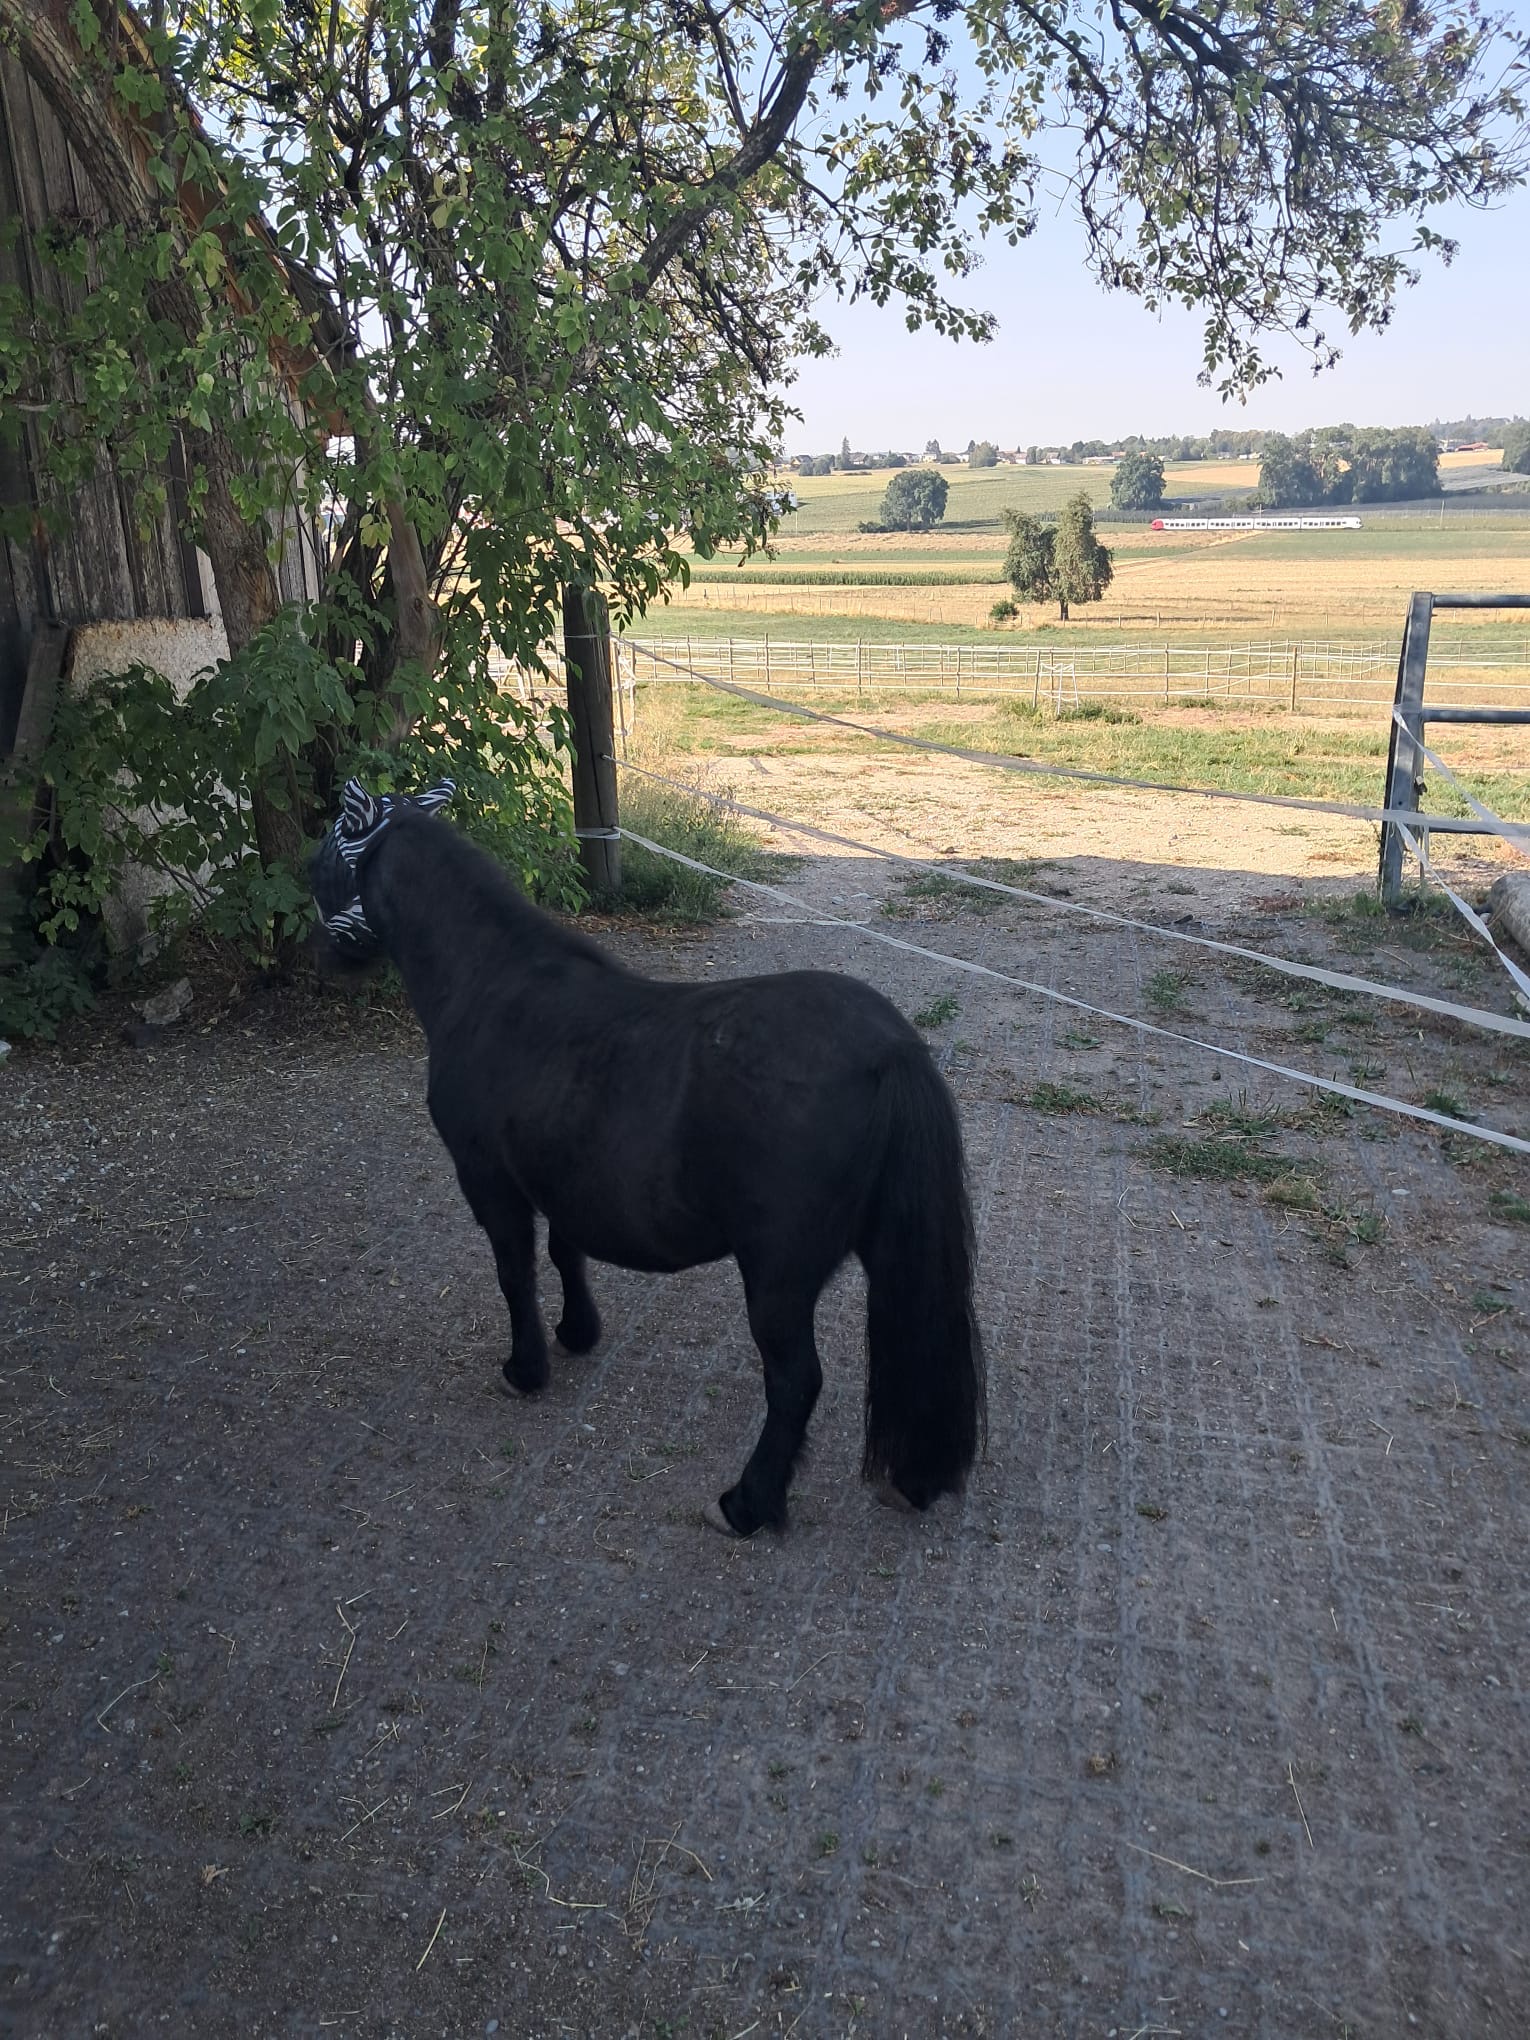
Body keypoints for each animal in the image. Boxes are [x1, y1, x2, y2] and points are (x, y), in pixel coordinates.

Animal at [310, 779, 985, 1537]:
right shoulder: (562, 1180)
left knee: (795, 1382)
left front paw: (525, 1369)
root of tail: (889, 1049)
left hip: (777, 1275)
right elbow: (565, 1255)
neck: (493, 984)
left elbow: (515, 1273)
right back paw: (914, 1479)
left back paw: (747, 1504)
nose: (321, 958)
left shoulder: (490, 1182)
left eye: (322, 857)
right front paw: (577, 1333)